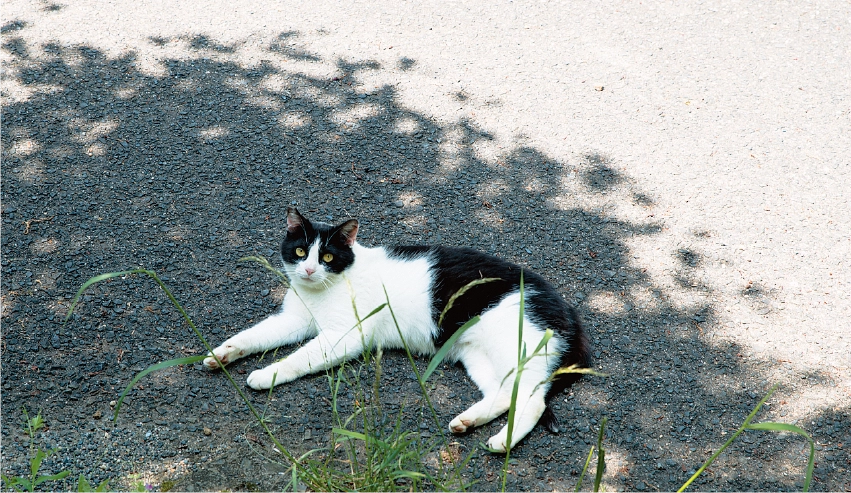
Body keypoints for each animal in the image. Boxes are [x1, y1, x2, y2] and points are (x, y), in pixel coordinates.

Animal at [206, 206, 588, 452]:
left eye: (327, 257)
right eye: (300, 252)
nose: (310, 270)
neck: (323, 290)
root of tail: (567, 307)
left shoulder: (345, 336)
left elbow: (299, 358)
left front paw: (267, 374)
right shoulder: (293, 320)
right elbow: (254, 335)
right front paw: (222, 353)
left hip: (513, 347)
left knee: (533, 401)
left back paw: (502, 442)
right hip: (479, 356)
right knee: (505, 395)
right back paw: (468, 421)